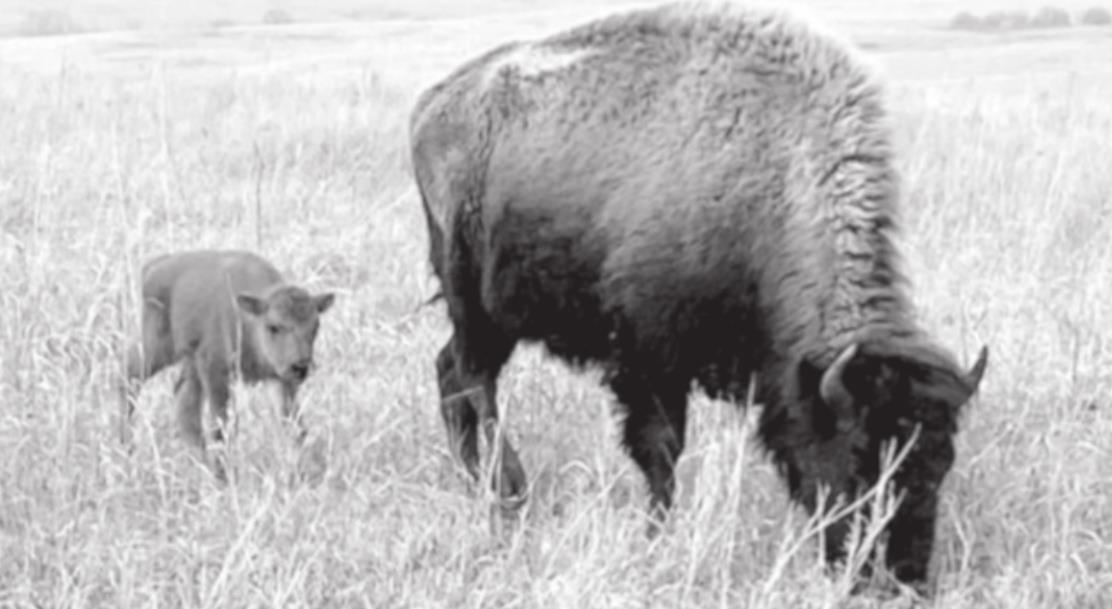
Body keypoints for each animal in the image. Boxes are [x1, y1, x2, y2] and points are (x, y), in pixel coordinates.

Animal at [120, 250, 335, 479]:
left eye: (315, 326)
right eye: (274, 326)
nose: (300, 366)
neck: (249, 320)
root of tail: (152, 267)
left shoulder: (279, 379)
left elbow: (294, 425)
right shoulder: (215, 371)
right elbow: (220, 426)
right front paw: (223, 475)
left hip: (190, 361)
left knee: (184, 400)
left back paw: (199, 462)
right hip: (157, 349)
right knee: (129, 377)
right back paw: (126, 447)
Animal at [409, 2, 988, 587]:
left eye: (943, 461)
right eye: (859, 456)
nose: (902, 577)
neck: (770, 184)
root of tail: (433, 106)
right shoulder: (648, 361)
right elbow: (661, 450)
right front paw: (657, 534)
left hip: (494, 318)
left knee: (450, 372)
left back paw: (475, 483)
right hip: (473, 298)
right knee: (475, 381)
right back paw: (510, 490)